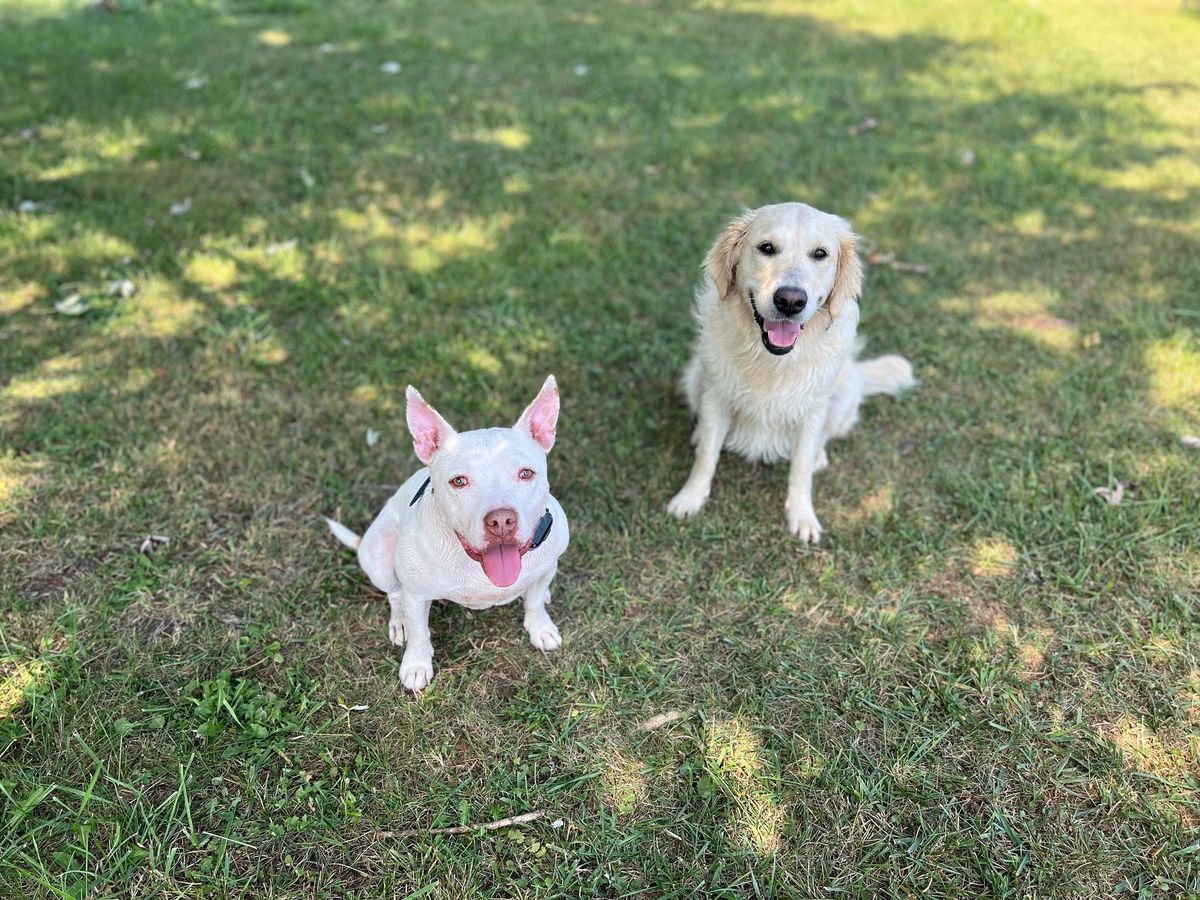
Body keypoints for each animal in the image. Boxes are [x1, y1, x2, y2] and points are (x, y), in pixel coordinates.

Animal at [326, 376, 568, 696]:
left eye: (526, 474)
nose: (501, 520)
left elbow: (535, 600)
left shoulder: (547, 566)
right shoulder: (416, 595)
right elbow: (419, 632)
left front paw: (540, 628)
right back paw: (399, 624)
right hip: (378, 555)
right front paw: (416, 665)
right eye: (459, 481)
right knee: (394, 594)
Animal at [667, 202, 916, 542]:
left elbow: (800, 469)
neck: (772, 361)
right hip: (696, 375)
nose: (790, 300)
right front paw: (690, 497)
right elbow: (706, 456)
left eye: (820, 254)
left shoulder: (812, 411)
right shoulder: (717, 395)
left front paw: (802, 516)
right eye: (766, 248)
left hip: (842, 396)